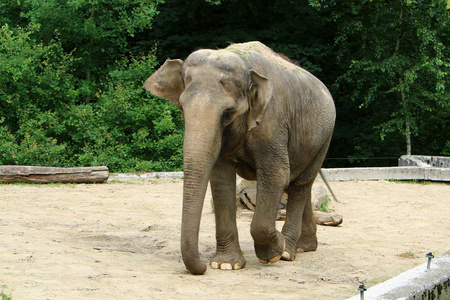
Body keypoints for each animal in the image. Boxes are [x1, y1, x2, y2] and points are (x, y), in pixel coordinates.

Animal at [144, 41, 334, 276]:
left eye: (228, 112)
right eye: (182, 108)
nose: (202, 267)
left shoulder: (272, 122)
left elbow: (275, 175)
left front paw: (274, 252)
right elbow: (221, 179)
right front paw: (226, 265)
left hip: (324, 138)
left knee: (300, 185)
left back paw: (288, 252)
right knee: (298, 184)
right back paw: (304, 247)